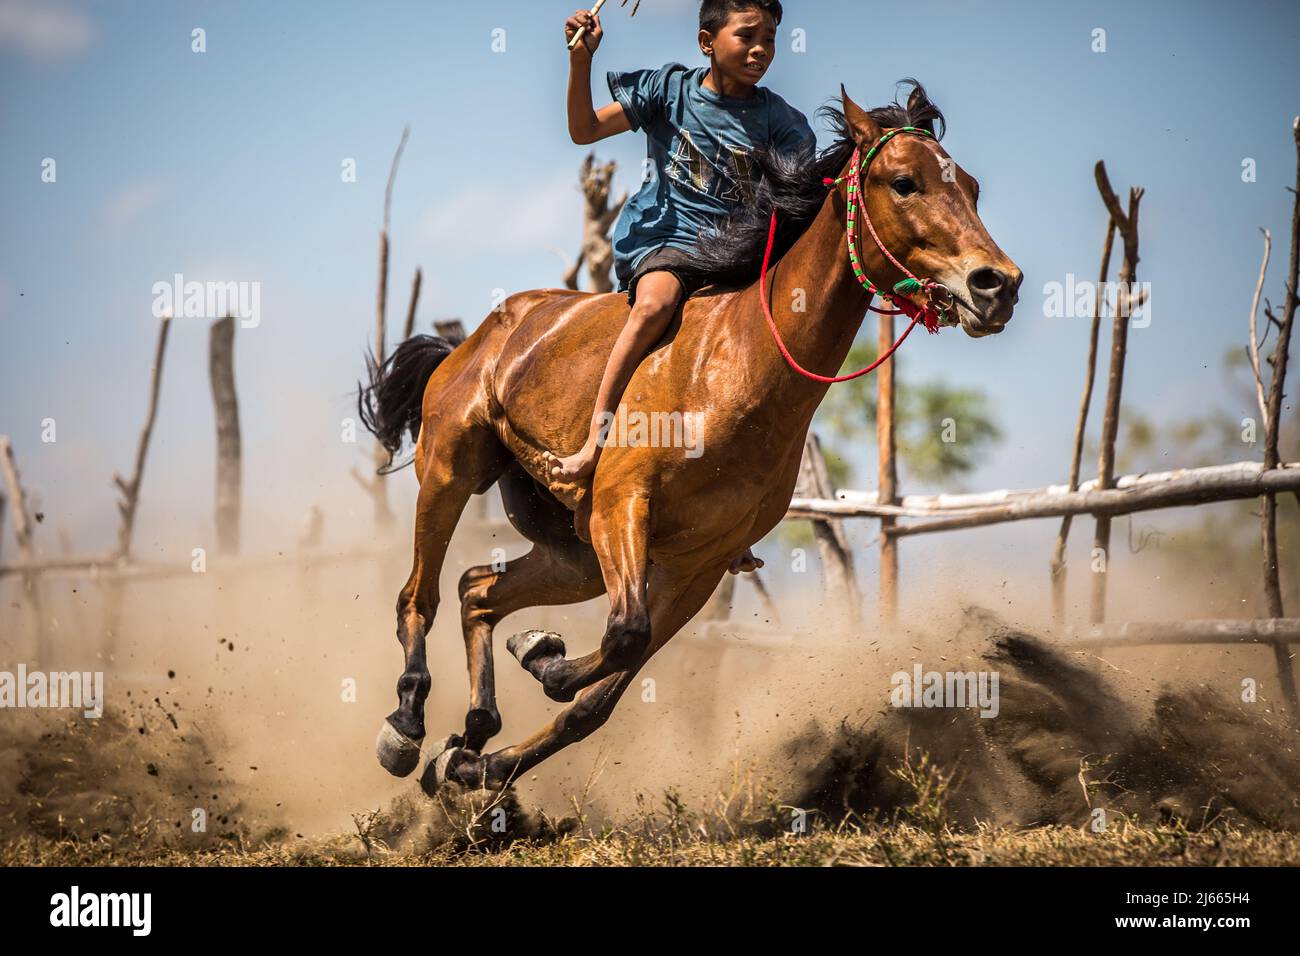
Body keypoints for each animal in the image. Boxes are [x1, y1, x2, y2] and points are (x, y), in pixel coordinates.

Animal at [359, 81, 1022, 793]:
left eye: (972, 187)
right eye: (904, 183)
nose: (998, 285)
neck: (738, 365)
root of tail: (482, 335)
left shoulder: (699, 564)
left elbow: (598, 695)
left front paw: (492, 743)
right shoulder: (622, 505)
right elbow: (624, 635)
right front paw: (542, 664)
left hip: (573, 553)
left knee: (478, 591)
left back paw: (473, 729)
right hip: (451, 471)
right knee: (419, 595)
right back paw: (406, 725)